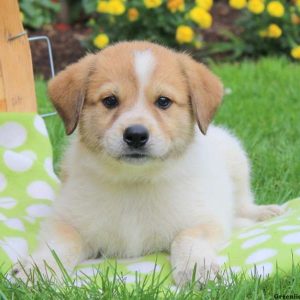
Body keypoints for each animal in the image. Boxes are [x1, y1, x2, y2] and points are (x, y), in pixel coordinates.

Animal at [13, 41, 284, 284]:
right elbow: (60, 243)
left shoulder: (205, 218)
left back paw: (263, 212)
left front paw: (197, 267)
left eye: (163, 101)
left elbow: (188, 237)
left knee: (242, 203)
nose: (135, 135)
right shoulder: (65, 220)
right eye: (110, 101)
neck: (136, 182)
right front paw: (39, 268)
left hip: (236, 159)